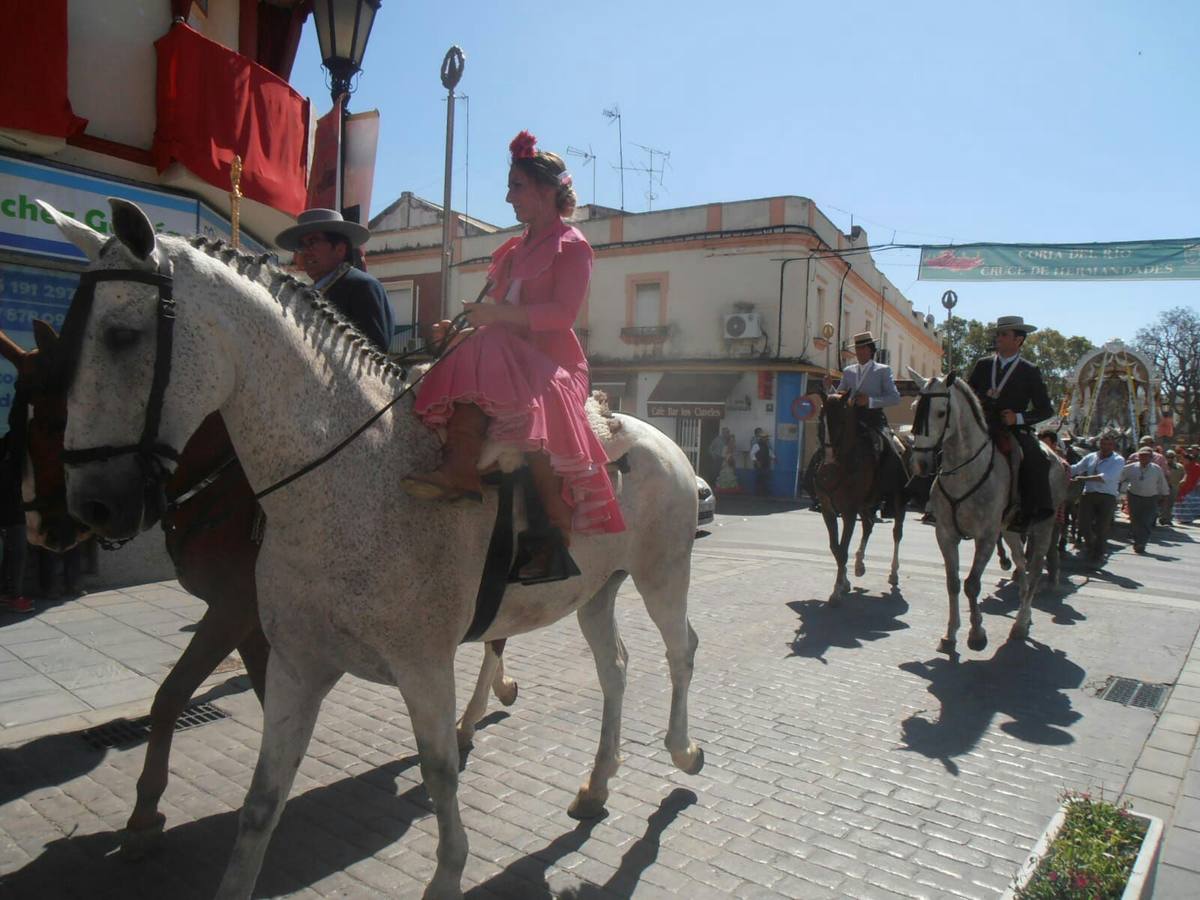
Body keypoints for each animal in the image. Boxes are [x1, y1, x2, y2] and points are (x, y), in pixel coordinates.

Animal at [816, 393, 907, 607]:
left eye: (841, 421)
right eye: (821, 421)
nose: (828, 463)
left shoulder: (848, 512)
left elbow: (842, 550)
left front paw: (837, 591)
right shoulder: (828, 510)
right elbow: (836, 548)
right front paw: (844, 583)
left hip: (898, 500)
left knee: (896, 533)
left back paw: (893, 573)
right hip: (866, 505)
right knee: (868, 525)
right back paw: (859, 565)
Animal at [907, 369, 1070, 657]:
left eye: (941, 412)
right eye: (915, 407)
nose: (920, 464)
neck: (965, 471)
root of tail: (1056, 457)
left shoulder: (986, 536)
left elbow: (972, 584)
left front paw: (977, 635)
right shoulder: (946, 534)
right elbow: (953, 583)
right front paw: (950, 635)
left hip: (1043, 526)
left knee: (1035, 569)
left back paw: (1020, 623)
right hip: (1010, 530)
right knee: (1021, 563)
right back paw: (1025, 615)